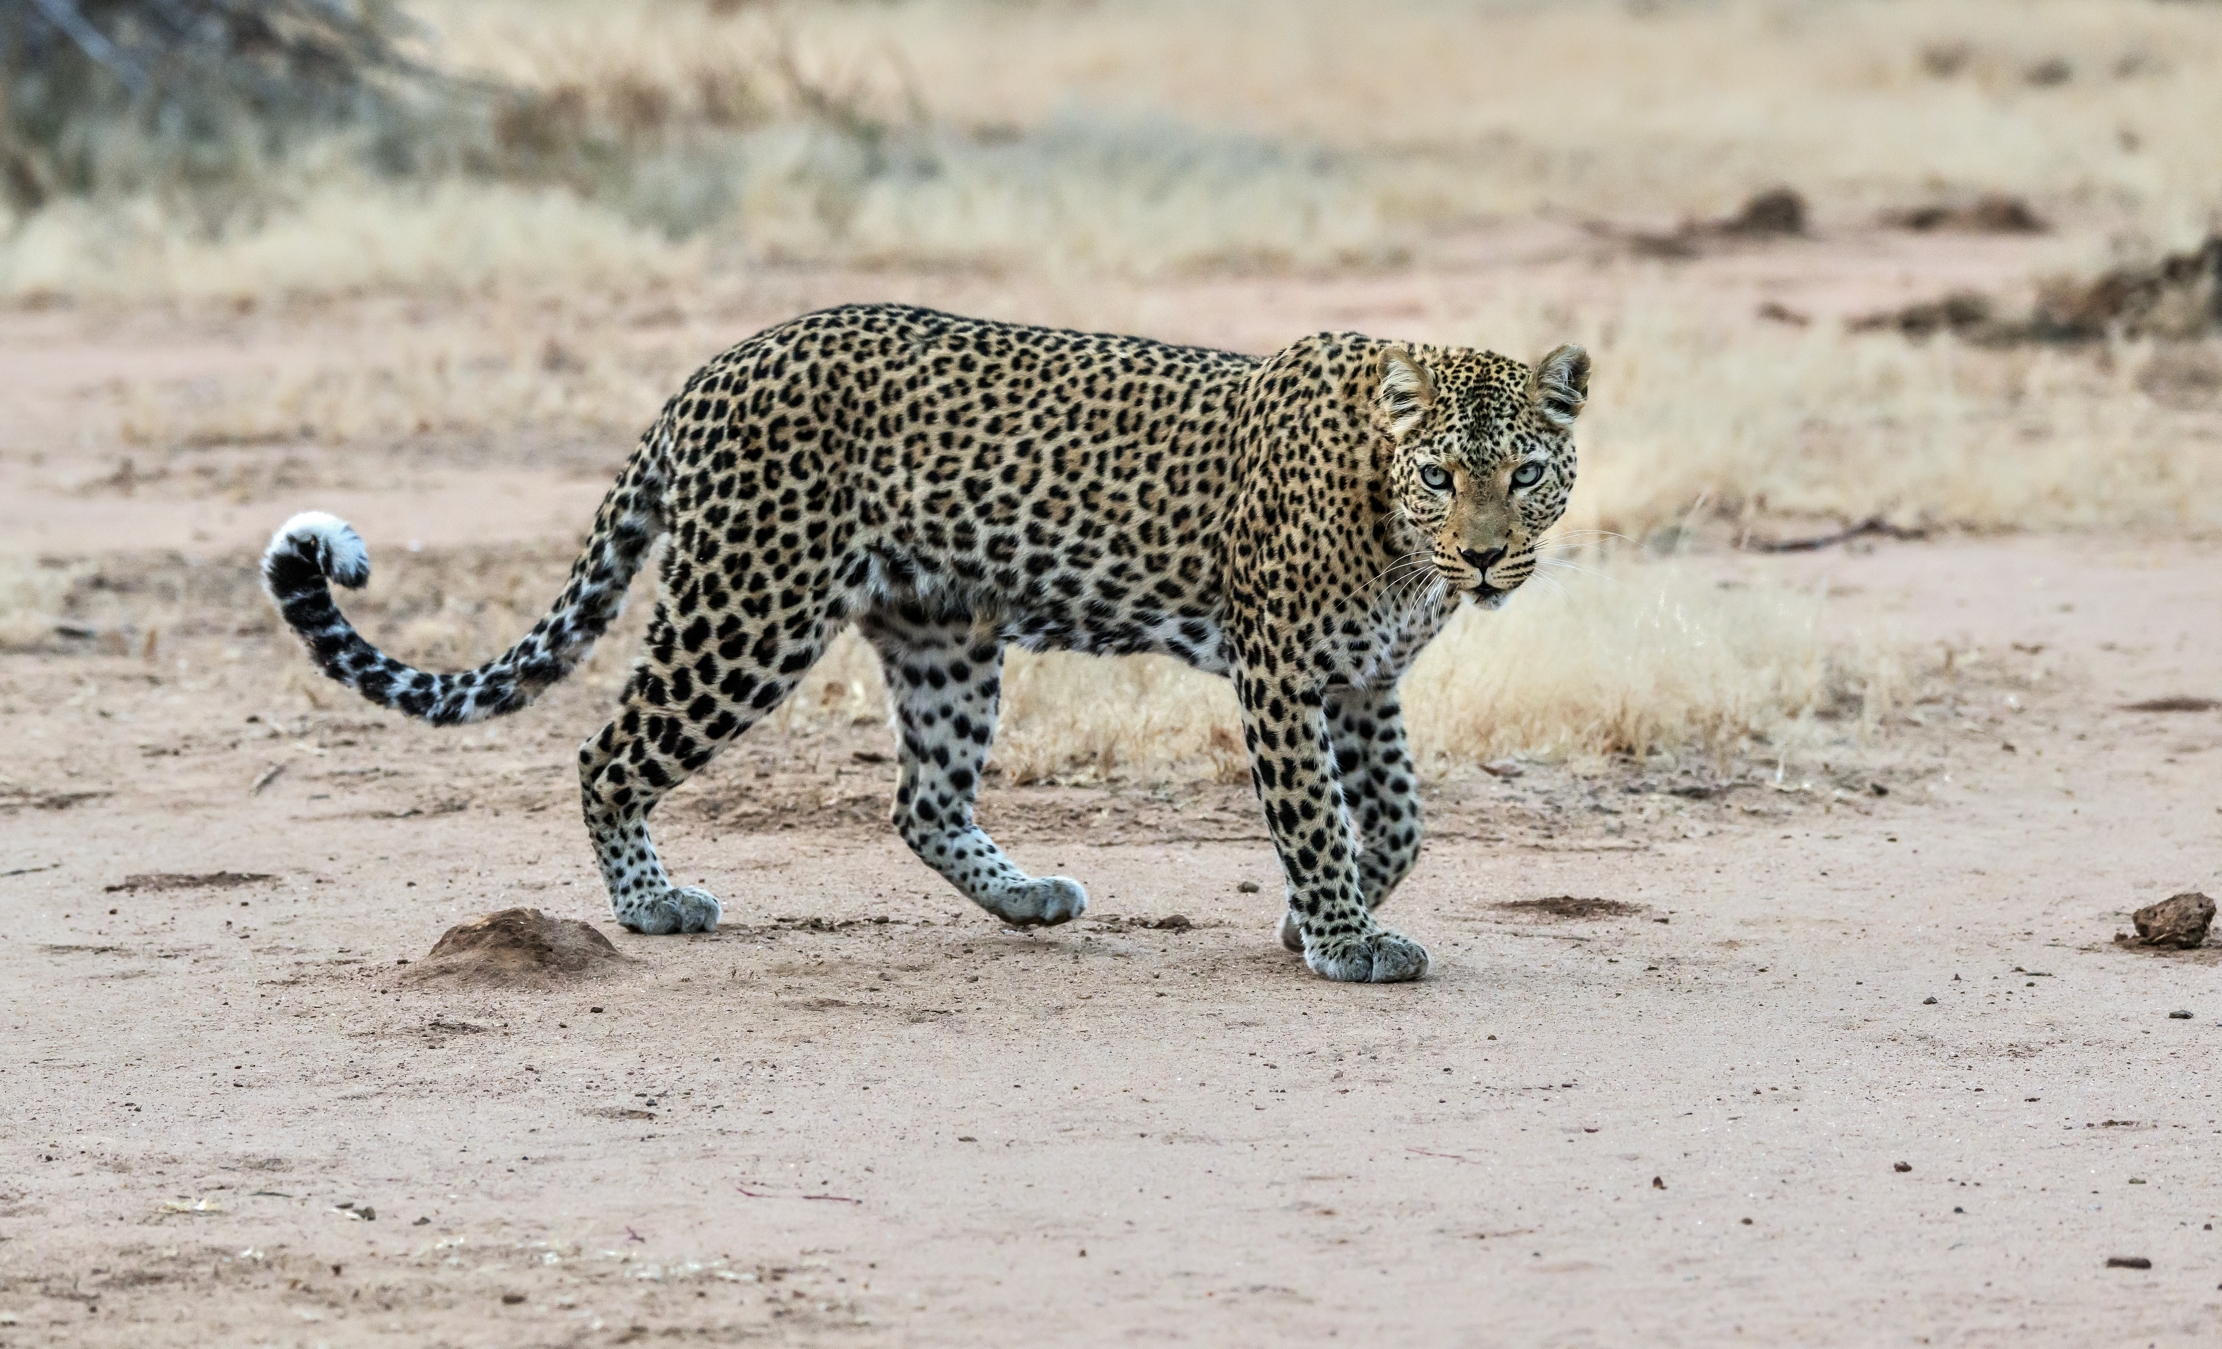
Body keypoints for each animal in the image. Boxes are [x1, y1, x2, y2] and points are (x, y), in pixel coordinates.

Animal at [262, 303, 1587, 983]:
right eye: (1439, 474)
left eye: (1525, 472)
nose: (1482, 558)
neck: (1393, 530)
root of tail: (711, 368)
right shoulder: (1280, 673)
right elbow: (1313, 815)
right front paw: (1340, 937)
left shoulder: (1360, 681)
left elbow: (1400, 818)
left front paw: (1315, 921)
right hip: (748, 607)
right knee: (607, 751)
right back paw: (651, 905)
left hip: (941, 628)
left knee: (922, 800)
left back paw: (1026, 896)